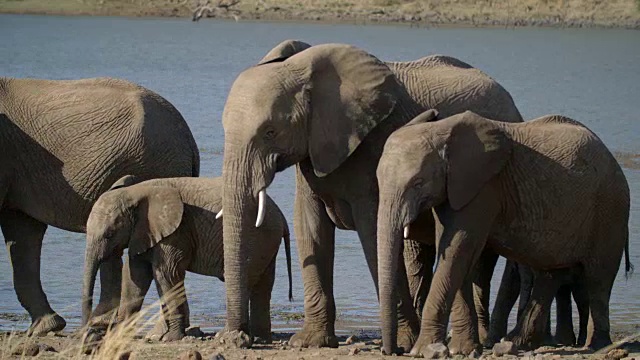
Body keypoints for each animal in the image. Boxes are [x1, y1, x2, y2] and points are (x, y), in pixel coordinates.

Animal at [80, 177, 292, 344]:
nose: (87, 330)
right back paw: (261, 338)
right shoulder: (143, 233)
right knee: (262, 287)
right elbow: (136, 278)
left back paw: (228, 335)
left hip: (256, 239)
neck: (134, 192)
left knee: (247, 283)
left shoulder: (175, 232)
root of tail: (281, 216)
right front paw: (118, 335)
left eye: (109, 234)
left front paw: (170, 338)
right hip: (266, 242)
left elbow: (167, 275)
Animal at [218, 40, 524, 350]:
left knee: (480, 263)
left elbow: (373, 232)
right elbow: (310, 227)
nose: (237, 338)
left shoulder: (373, 147)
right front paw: (310, 342)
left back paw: (484, 339)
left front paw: (403, 342)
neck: (303, 68)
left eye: (270, 132)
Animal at [376, 110, 632, 358]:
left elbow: (459, 248)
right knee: (550, 274)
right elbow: (453, 251)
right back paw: (518, 342)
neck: (441, 130)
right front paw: (463, 350)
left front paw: (423, 351)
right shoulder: (456, 189)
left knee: (598, 279)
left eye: (418, 183)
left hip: (610, 211)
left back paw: (597, 346)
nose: (394, 351)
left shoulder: (485, 188)